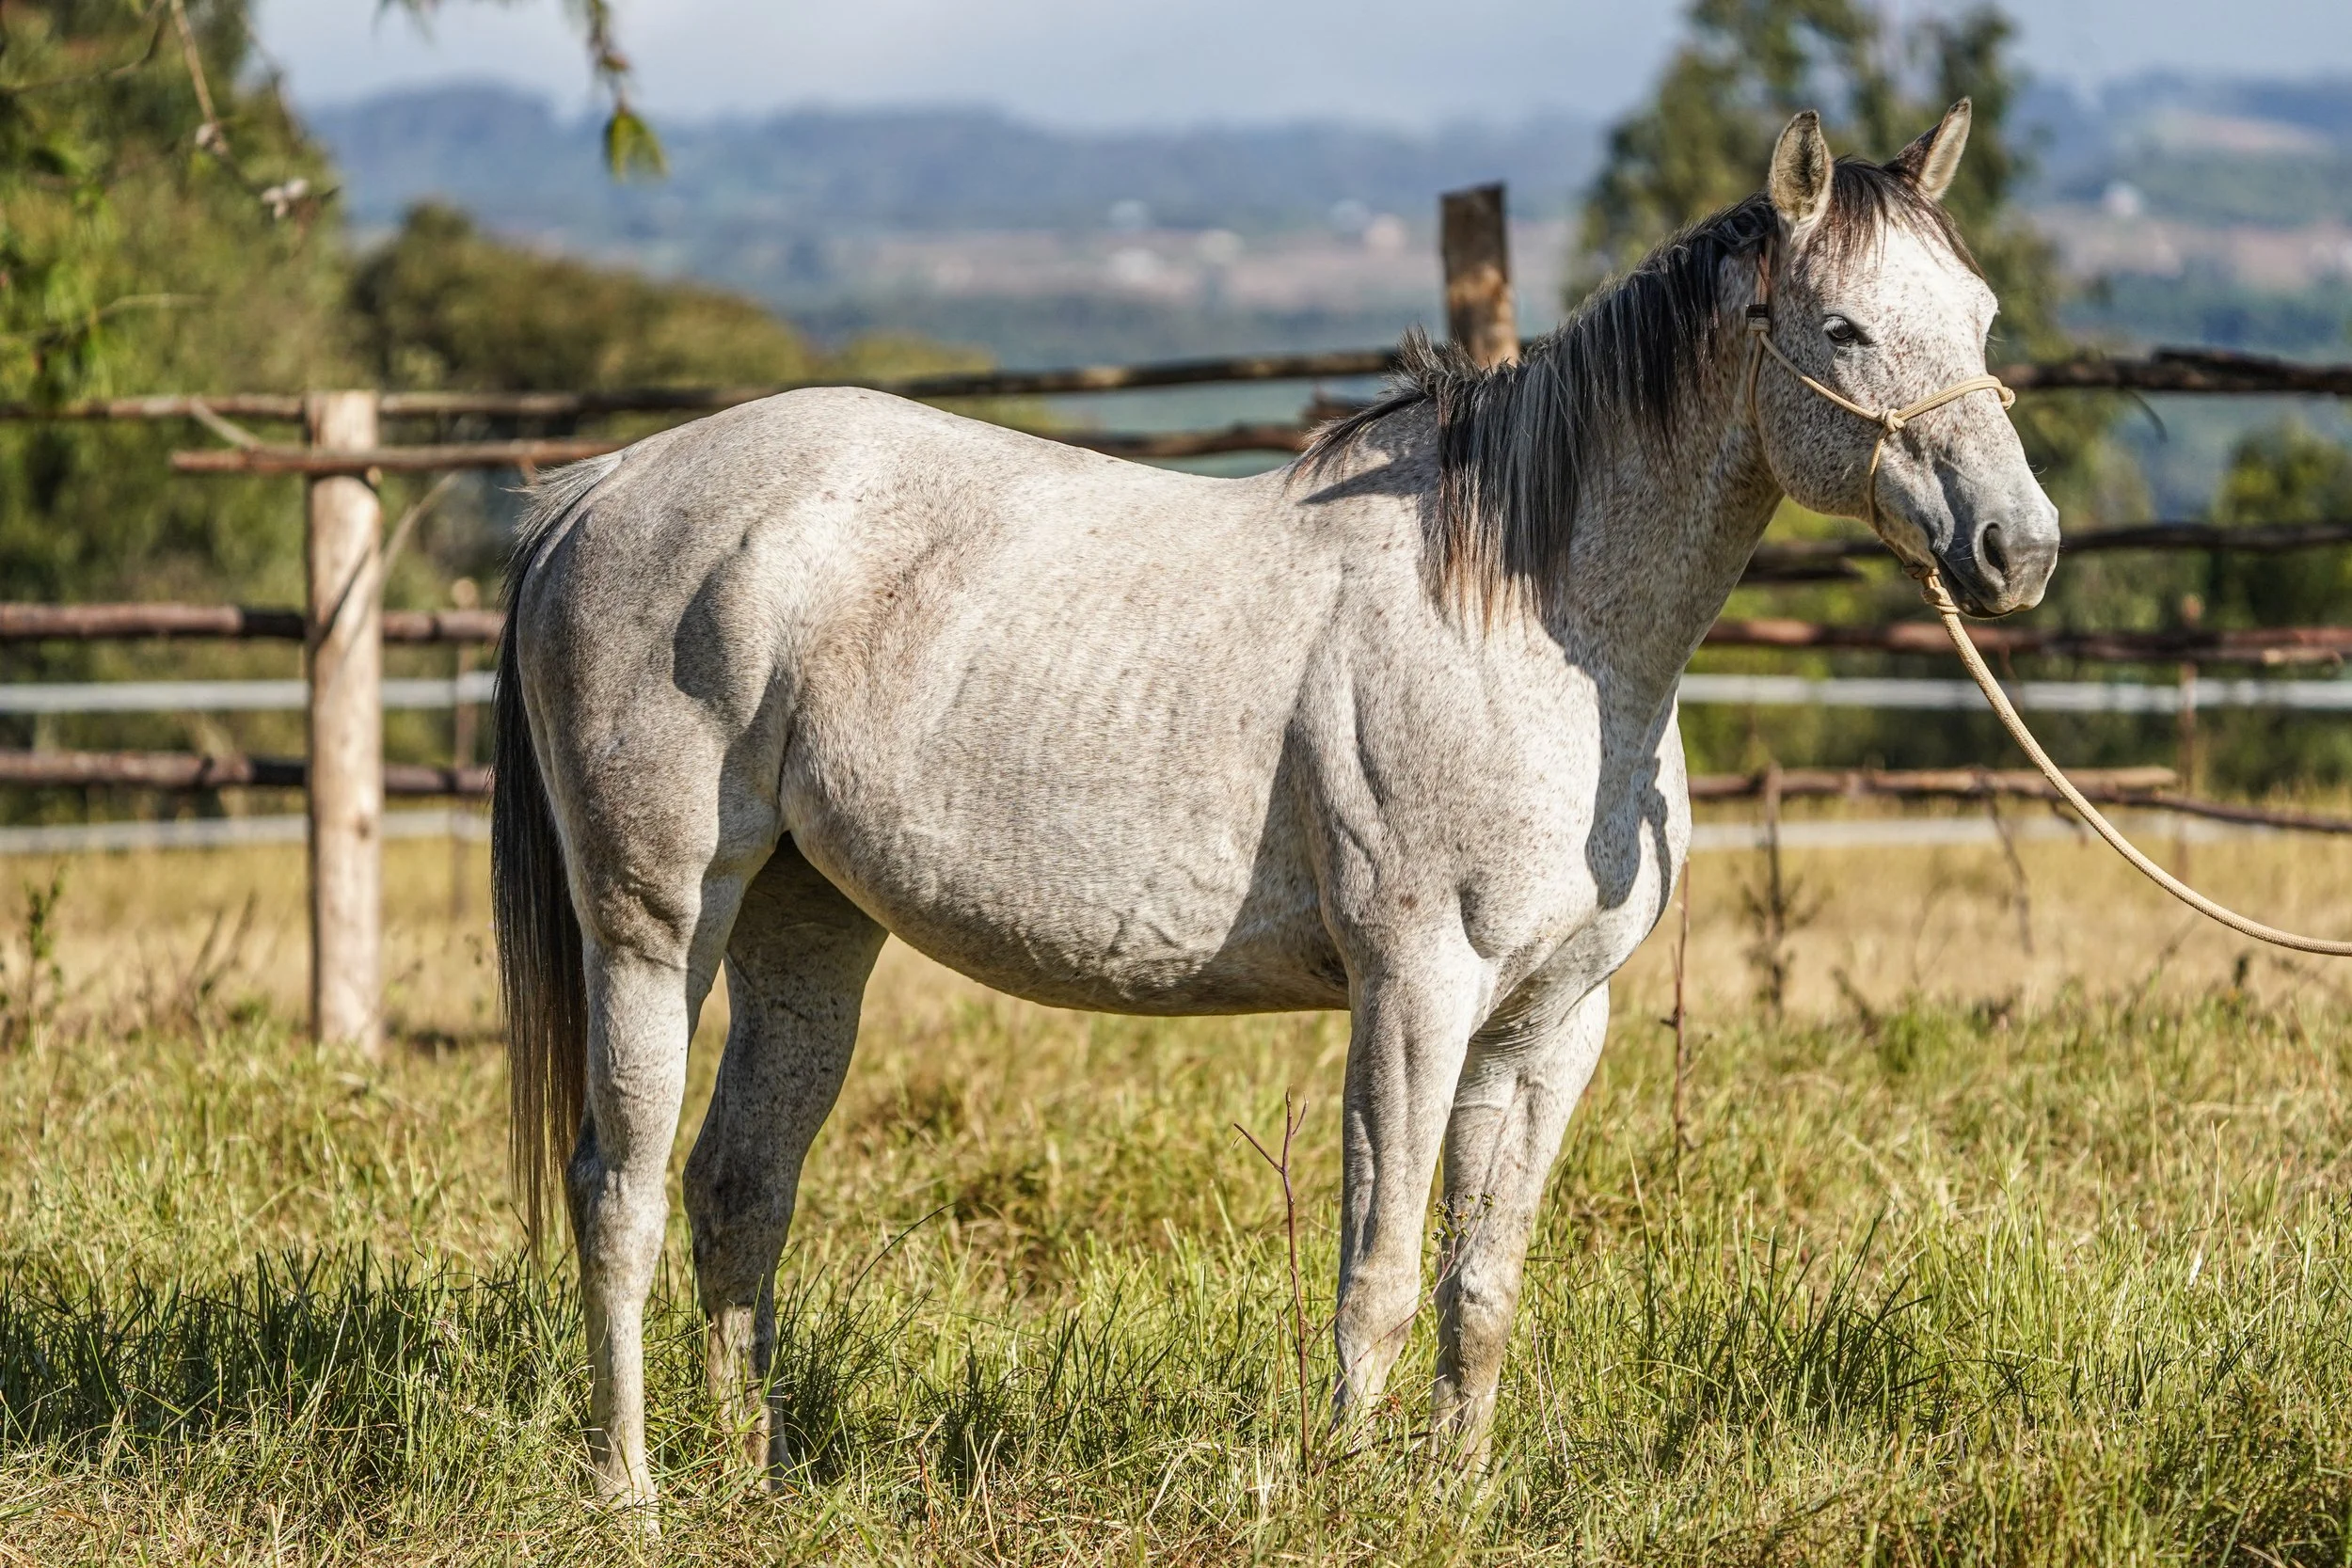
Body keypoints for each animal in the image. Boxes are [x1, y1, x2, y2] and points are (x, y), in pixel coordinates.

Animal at [492, 102, 2060, 1505]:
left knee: (738, 1187)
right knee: (619, 1187)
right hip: (652, 925)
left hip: (805, 924)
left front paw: (1451, 1497)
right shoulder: (1413, 988)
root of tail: (598, 487)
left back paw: (746, 1475)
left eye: (1981, 312)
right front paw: (1353, 1492)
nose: (2019, 547)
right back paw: (631, 1490)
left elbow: (1483, 1282)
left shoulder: (1551, 1023)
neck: (1525, 616)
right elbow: (1380, 1269)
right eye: (1844, 328)